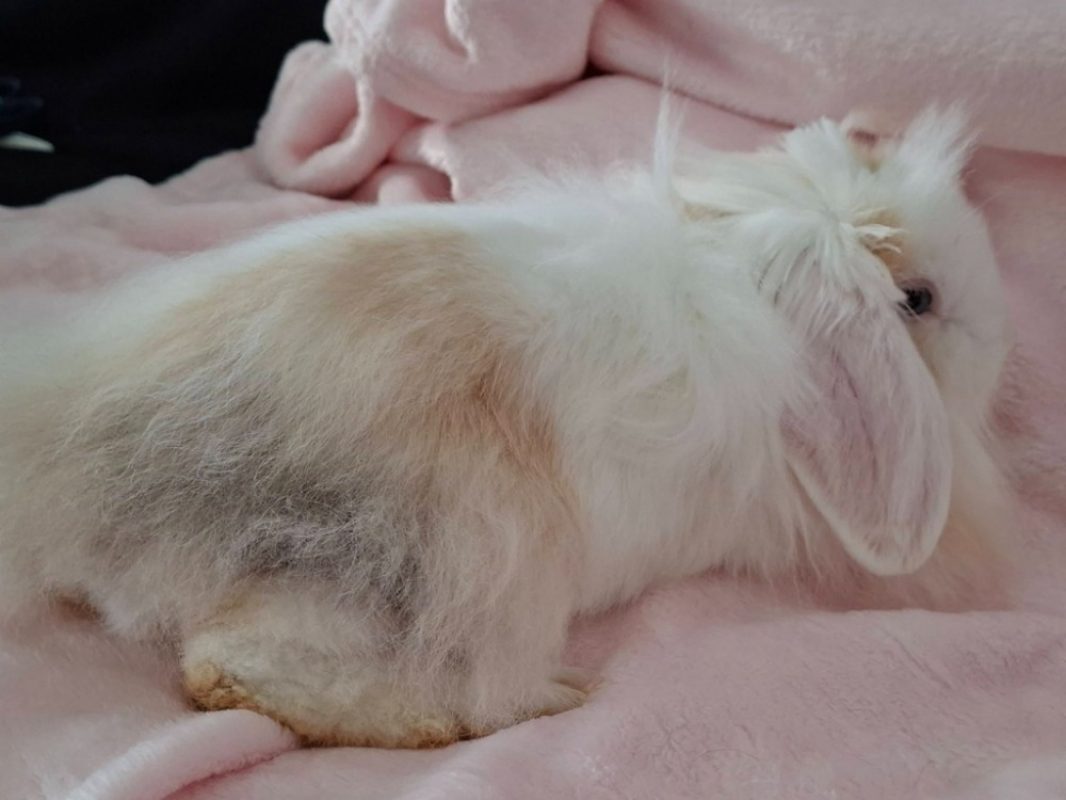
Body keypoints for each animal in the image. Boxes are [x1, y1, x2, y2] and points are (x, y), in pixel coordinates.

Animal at [0, 107, 1013, 747]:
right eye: (919, 300)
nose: (1003, 344)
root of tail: (74, 481)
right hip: (441, 555)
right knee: (229, 669)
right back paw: (493, 711)